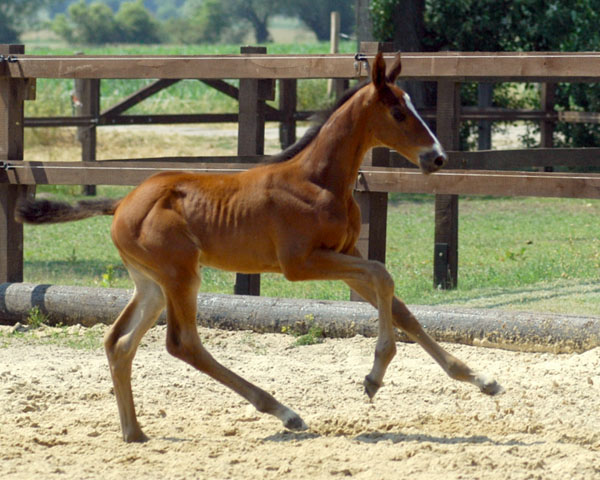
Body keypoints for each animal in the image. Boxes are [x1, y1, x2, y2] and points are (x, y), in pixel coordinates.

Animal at [16, 53, 502, 442]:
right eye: (399, 111)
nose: (436, 158)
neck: (318, 180)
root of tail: (121, 203)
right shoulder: (300, 264)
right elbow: (385, 277)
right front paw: (374, 375)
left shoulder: (347, 256)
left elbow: (400, 308)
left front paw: (480, 379)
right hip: (181, 274)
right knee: (183, 343)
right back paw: (284, 413)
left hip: (151, 283)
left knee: (118, 342)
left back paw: (133, 431)